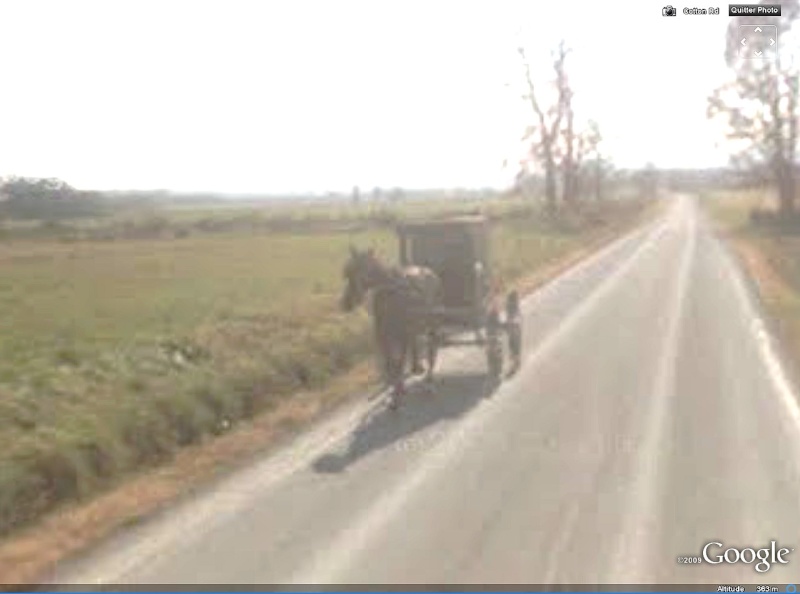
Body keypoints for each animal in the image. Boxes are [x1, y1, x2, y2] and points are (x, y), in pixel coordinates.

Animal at [340, 245, 444, 408]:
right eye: (348, 272)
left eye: (362, 270)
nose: (346, 303)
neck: (391, 294)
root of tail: (431, 273)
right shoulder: (383, 337)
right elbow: (391, 364)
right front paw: (397, 392)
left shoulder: (401, 334)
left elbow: (398, 363)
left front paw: (398, 394)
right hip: (413, 329)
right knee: (416, 346)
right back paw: (417, 369)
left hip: (431, 323)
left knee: (432, 349)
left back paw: (429, 380)